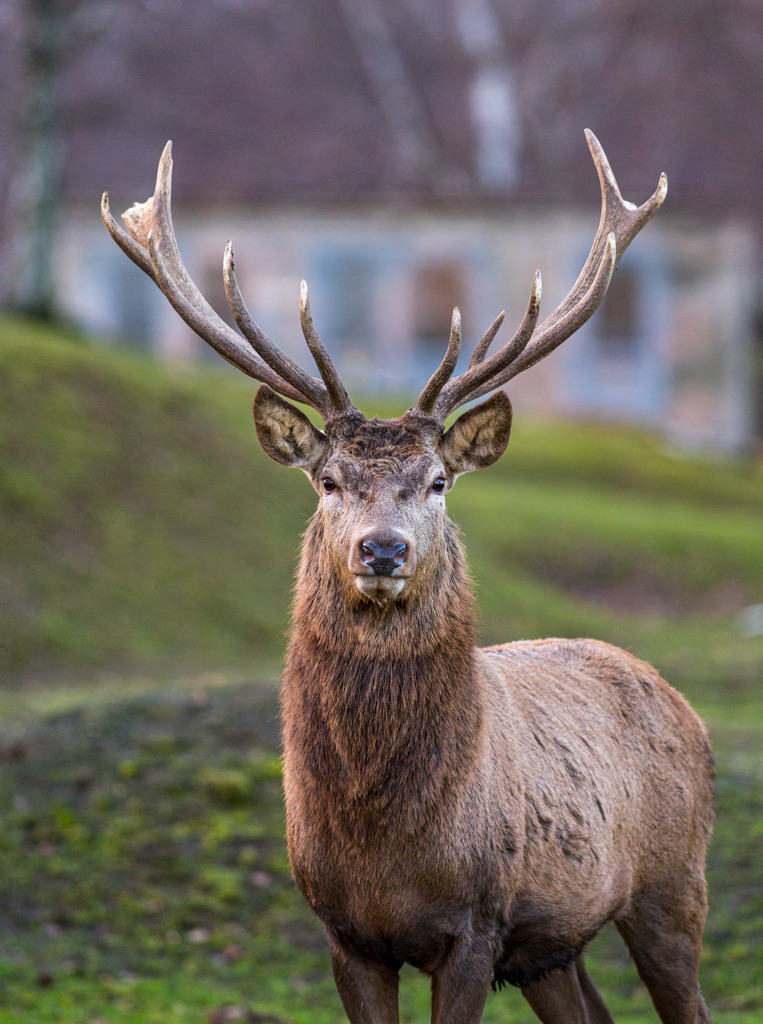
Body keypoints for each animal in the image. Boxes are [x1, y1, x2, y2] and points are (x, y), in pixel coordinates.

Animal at [102, 130, 714, 1024]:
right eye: (327, 480)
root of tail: (676, 698)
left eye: (437, 481)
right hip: (553, 945)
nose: (382, 551)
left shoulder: (478, 922)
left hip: (673, 885)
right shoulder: (343, 932)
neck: (385, 845)